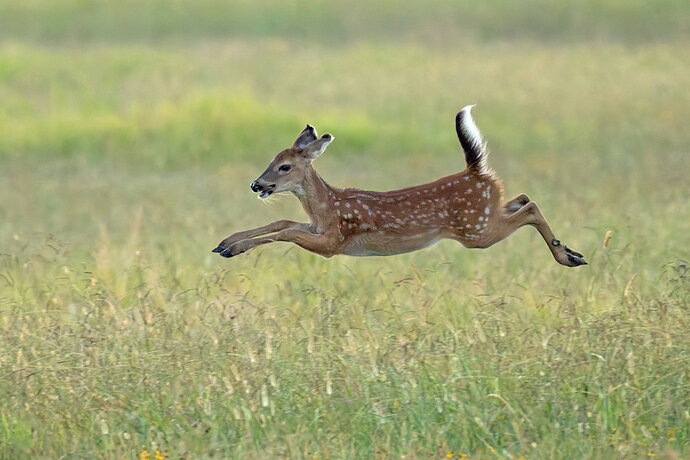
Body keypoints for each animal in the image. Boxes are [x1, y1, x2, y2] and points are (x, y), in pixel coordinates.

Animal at [212, 105, 587, 267]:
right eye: (271, 159)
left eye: (284, 166)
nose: (257, 184)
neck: (329, 206)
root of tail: (477, 172)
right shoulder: (319, 228)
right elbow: (283, 221)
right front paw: (225, 243)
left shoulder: (334, 242)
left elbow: (286, 231)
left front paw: (234, 249)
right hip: (486, 216)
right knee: (522, 198)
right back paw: (571, 252)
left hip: (476, 231)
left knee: (530, 208)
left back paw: (568, 256)